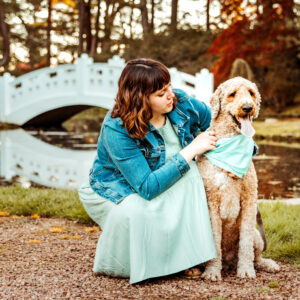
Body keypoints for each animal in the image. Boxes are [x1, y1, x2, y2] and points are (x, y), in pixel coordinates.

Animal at [198, 77, 280, 282]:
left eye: (251, 92)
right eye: (232, 94)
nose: (247, 107)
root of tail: (229, 262)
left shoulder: (249, 199)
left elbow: (245, 243)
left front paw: (245, 270)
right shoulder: (211, 201)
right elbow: (215, 240)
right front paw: (212, 272)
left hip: (258, 236)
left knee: (257, 255)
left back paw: (267, 264)